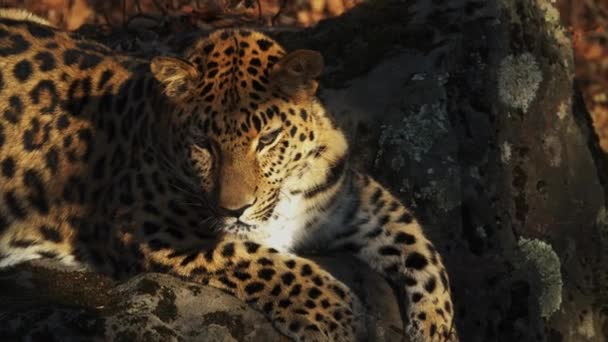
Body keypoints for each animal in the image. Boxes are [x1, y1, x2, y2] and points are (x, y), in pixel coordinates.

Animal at [0, 9, 456, 340]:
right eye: (203, 142)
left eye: (268, 138)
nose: (234, 209)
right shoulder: (151, 228)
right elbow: (264, 262)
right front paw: (339, 316)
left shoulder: (349, 198)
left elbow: (423, 252)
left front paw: (437, 329)